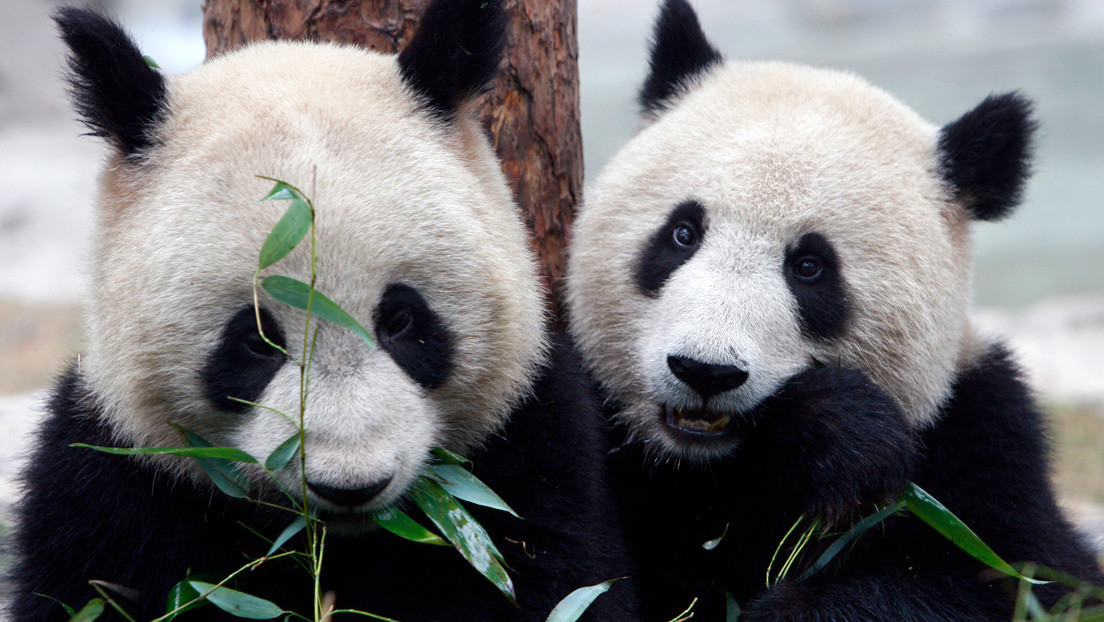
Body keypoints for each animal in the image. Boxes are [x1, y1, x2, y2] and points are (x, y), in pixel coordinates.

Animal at [10, 2, 640, 618]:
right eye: (256, 342)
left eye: (401, 321)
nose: (352, 484)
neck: (338, 542)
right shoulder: (121, 480)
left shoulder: (527, 449)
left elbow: (549, 571)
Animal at [565, 1, 1104, 622]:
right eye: (682, 233)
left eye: (809, 267)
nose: (705, 372)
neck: (710, 465)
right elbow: (582, 570)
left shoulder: (980, 437)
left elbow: (1022, 578)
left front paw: (838, 433)